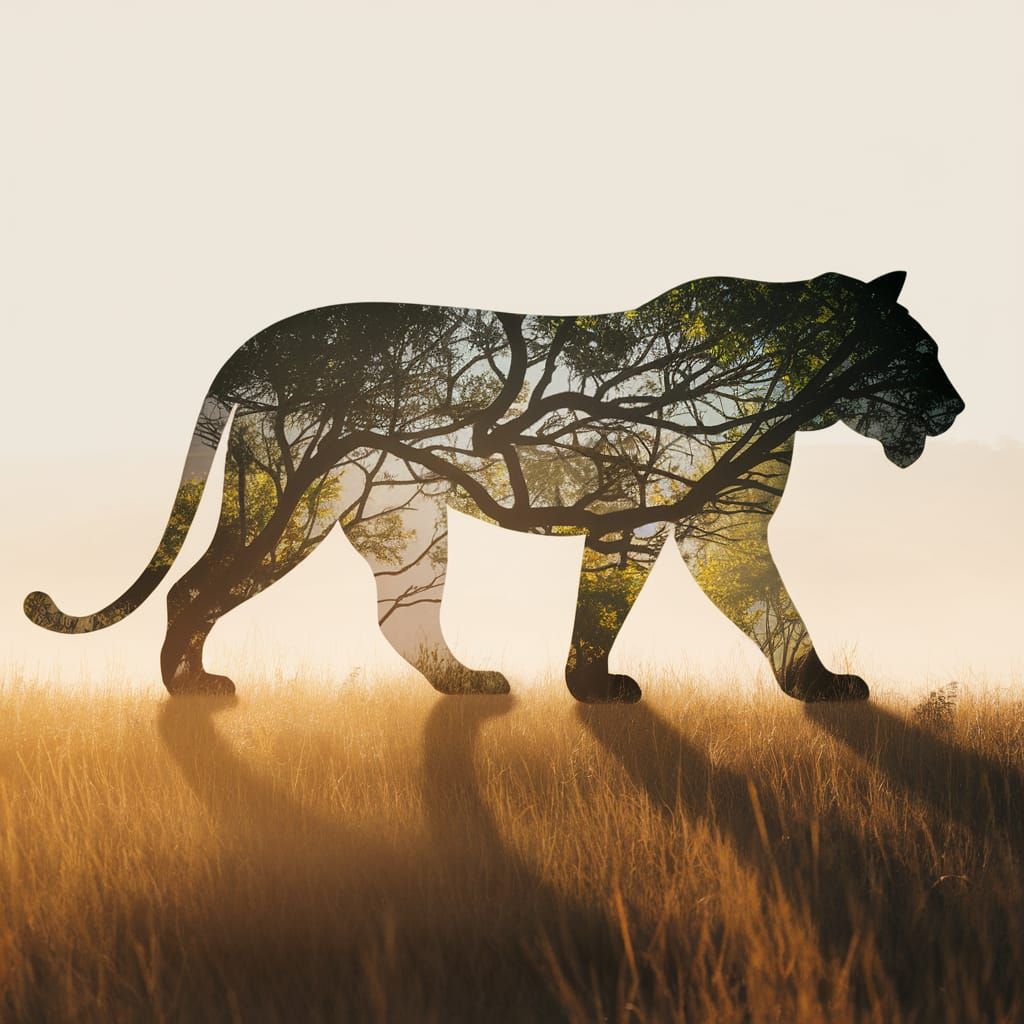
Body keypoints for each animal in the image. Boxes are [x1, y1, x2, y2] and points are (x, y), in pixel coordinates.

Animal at [25, 271, 964, 702]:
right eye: (921, 352)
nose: (956, 406)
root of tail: (257, 345)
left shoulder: (711, 526)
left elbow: (761, 606)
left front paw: (816, 686)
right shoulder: (661, 512)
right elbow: (648, 605)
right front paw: (600, 690)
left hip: (398, 519)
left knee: (396, 618)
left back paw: (468, 684)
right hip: (294, 495)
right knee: (197, 588)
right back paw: (191, 690)